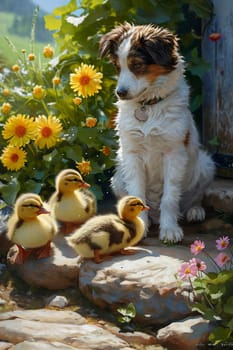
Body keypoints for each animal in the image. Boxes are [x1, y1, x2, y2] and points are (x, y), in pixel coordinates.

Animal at [98, 23, 215, 242]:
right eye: (118, 67)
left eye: (137, 65)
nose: (120, 93)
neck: (148, 106)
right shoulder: (132, 155)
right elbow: (137, 195)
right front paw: (141, 227)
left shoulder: (174, 153)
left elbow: (170, 197)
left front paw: (170, 229)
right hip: (118, 176)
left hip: (205, 165)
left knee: (194, 197)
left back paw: (195, 211)